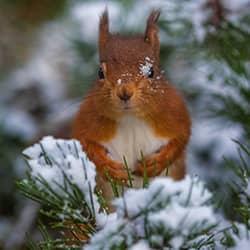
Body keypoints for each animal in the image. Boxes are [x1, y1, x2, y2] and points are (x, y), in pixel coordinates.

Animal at [72, 9, 191, 190]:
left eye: (151, 72)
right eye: (100, 72)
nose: (124, 92)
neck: (131, 119)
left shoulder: (176, 115)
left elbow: (180, 141)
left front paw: (154, 164)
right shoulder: (86, 121)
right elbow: (86, 146)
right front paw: (110, 168)